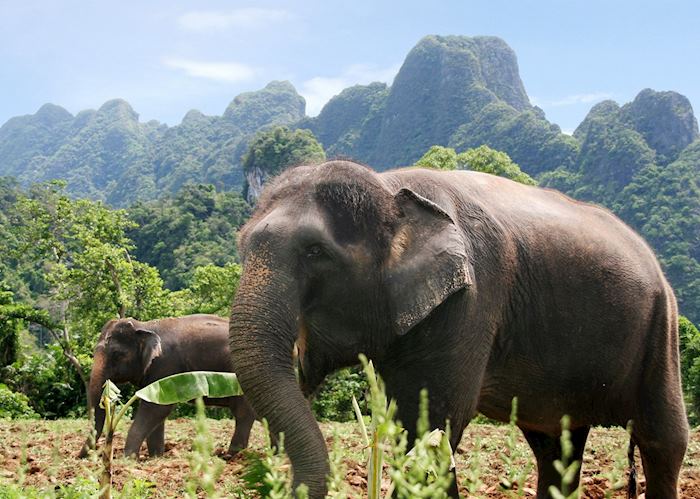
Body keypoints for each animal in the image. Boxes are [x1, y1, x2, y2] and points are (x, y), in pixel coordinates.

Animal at [80, 314, 254, 458]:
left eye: (117, 354)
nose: (80, 457)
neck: (145, 326)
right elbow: (157, 409)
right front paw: (156, 457)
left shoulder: (165, 365)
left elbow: (156, 409)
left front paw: (129, 459)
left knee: (243, 414)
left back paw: (230, 456)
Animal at [230, 161, 688, 499]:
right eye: (241, 246)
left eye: (316, 252)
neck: (389, 187)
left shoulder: (471, 300)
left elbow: (430, 424)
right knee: (557, 445)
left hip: (661, 327)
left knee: (663, 439)